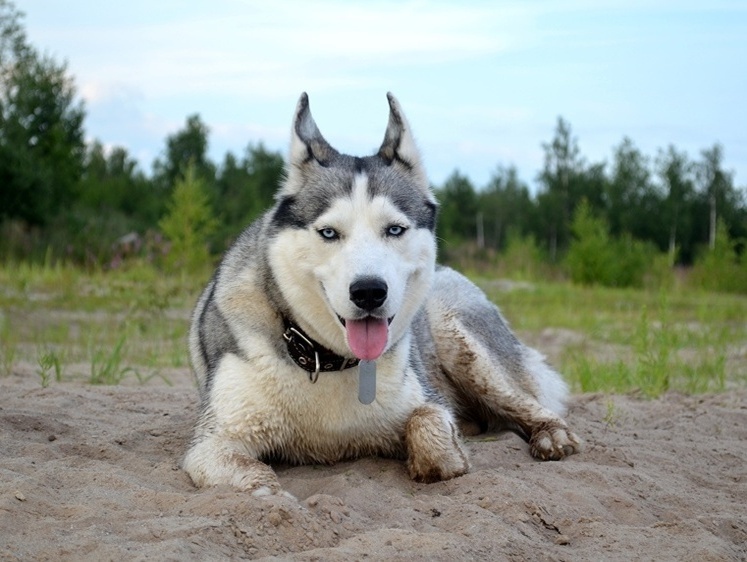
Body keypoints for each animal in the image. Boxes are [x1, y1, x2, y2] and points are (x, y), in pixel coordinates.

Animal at [184, 93, 580, 494]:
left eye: (394, 229)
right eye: (329, 233)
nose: (369, 292)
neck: (326, 360)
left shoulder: (427, 400)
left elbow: (429, 428)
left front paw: (443, 458)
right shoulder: (212, 443)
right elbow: (260, 485)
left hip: (462, 341)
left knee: (529, 402)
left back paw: (552, 435)